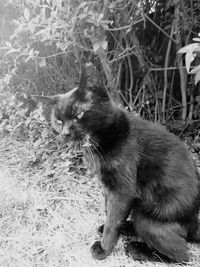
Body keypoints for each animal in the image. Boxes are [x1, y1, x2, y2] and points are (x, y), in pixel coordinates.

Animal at [33, 65, 200, 264]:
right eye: (58, 120)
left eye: (79, 114)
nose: (65, 133)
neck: (105, 138)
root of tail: (195, 222)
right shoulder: (107, 187)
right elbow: (110, 213)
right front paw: (109, 230)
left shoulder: (122, 191)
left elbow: (113, 220)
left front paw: (104, 249)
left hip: (149, 214)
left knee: (181, 255)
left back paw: (138, 249)